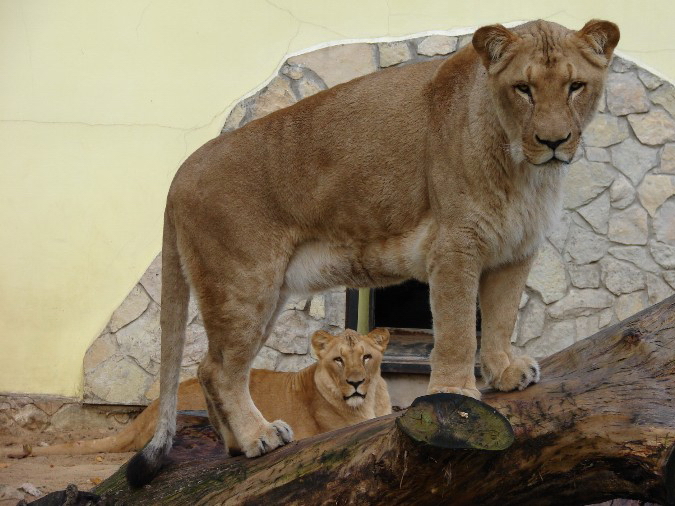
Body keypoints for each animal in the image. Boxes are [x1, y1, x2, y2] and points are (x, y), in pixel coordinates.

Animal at [127, 19, 619, 486]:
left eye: (575, 86)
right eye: (523, 88)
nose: (553, 141)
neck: (524, 171)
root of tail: (180, 172)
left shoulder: (515, 250)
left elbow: (500, 319)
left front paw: (505, 372)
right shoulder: (455, 245)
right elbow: (460, 329)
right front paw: (458, 394)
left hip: (263, 293)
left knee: (209, 366)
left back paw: (236, 446)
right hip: (244, 285)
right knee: (219, 370)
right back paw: (259, 436)